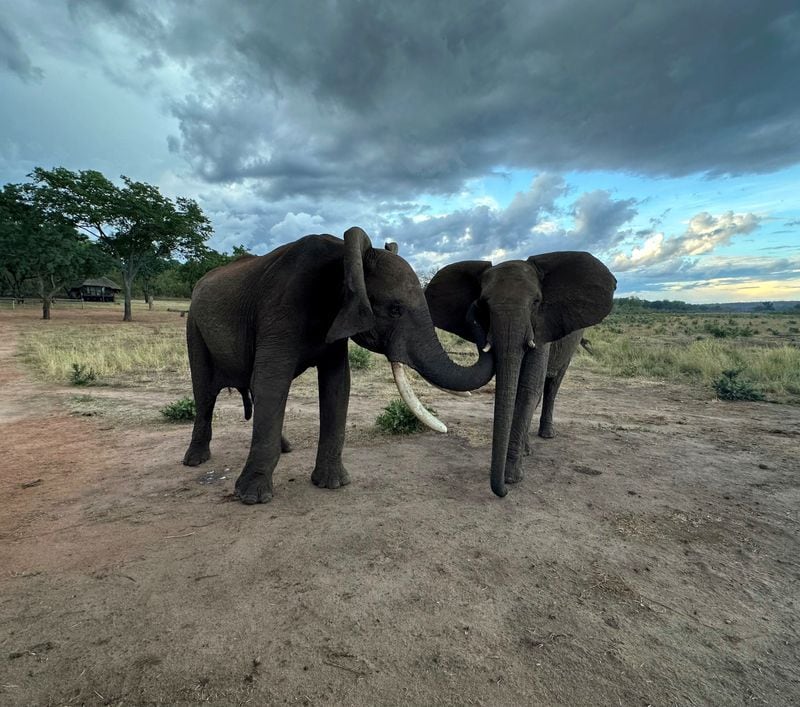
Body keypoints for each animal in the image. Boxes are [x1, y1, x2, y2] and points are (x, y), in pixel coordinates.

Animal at [182, 227, 494, 504]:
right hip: (194, 326)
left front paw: (333, 484)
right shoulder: (280, 311)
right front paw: (252, 498)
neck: (343, 258)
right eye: (395, 309)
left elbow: (337, 385)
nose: (479, 307)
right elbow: (271, 382)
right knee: (205, 392)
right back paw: (195, 460)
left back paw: (286, 448)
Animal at [428, 253, 616, 498]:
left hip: (571, 344)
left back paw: (547, 435)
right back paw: (527, 448)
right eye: (484, 304)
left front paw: (511, 479)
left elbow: (528, 389)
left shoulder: (543, 327)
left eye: (536, 302)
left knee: (552, 385)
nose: (503, 491)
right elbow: (514, 389)